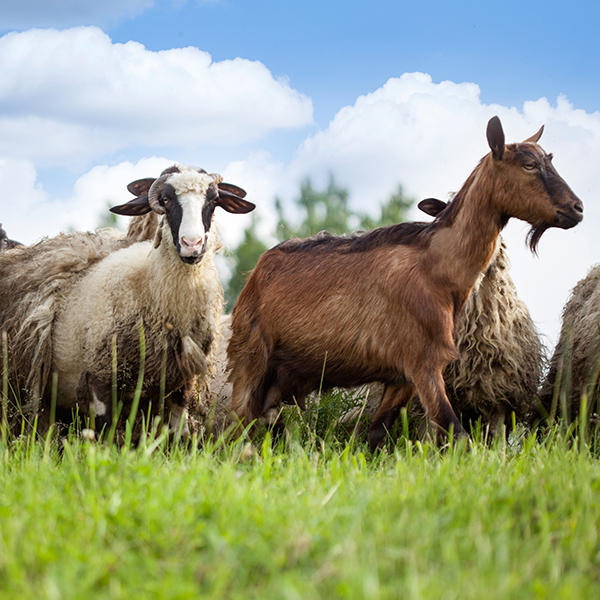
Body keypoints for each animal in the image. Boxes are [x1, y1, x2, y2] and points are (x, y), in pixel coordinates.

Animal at [0, 166, 254, 438]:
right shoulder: (100, 380)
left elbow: (177, 437)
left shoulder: (181, 384)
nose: (192, 244)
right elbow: (104, 439)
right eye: (165, 200)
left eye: (214, 200)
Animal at [227, 116, 584, 450]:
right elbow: (455, 432)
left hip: (281, 379)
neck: (438, 266)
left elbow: (376, 434)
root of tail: (257, 272)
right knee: (234, 430)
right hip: (251, 360)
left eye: (549, 159)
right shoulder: (424, 363)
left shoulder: (402, 377)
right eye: (529, 165)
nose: (577, 209)